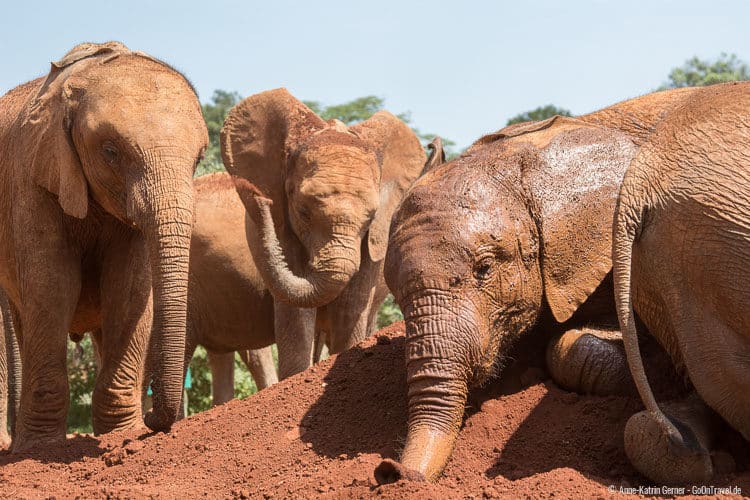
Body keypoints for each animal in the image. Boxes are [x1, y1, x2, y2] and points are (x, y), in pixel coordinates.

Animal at [0, 42, 209, 450]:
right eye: (111, 152)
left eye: (199, 159)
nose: (153, 420)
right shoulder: (32, 181)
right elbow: (52, 288)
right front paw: (40, 449)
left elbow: (128, 292)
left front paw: (121, 435)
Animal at [220, 90, 426, 378]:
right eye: (303, 212)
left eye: (371, 218)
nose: (262, 201)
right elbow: (296, 317)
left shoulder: (374, 243)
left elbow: (350, 310)